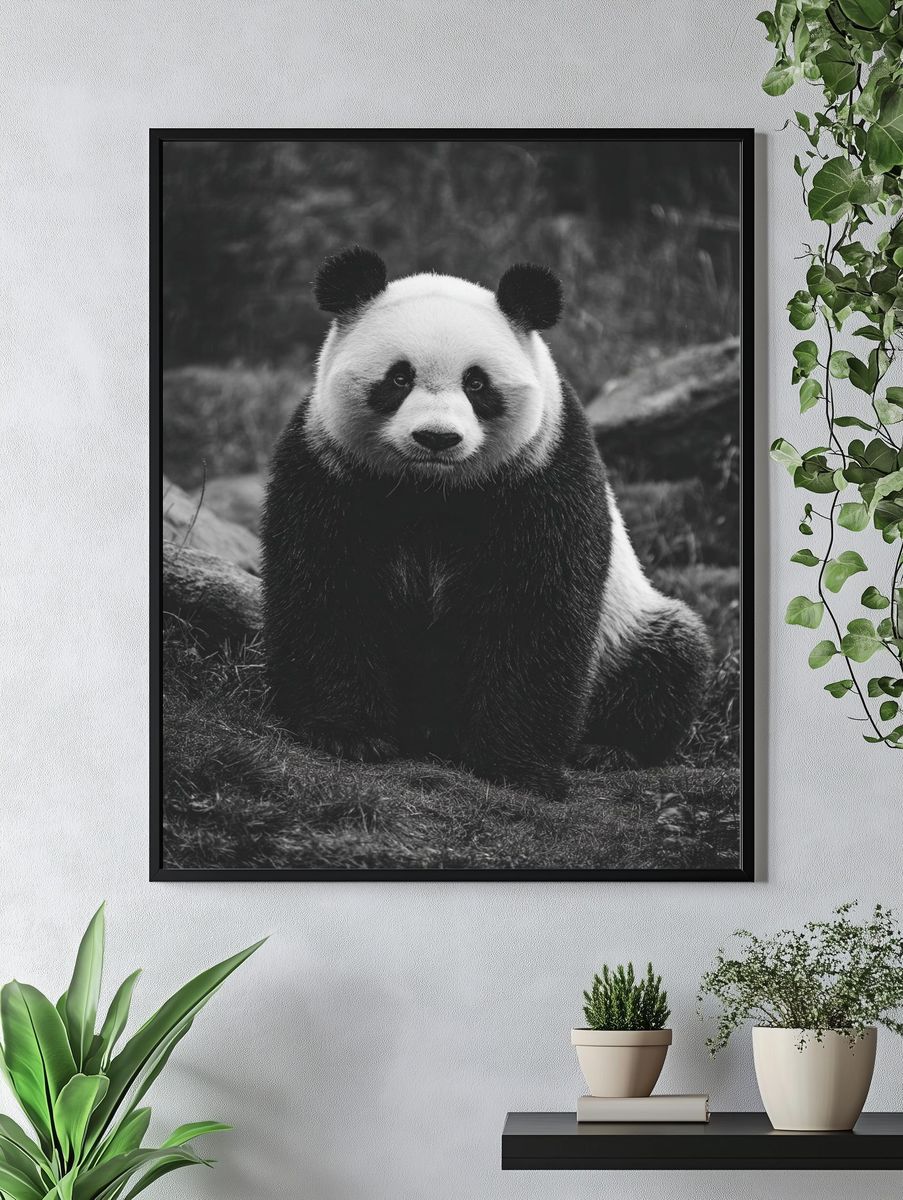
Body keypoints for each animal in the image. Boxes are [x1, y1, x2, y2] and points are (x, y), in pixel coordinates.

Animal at [261, 246, 711, 799]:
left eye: (476, 383)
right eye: (399, 378)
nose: (436, 438)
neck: (430, 493)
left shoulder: (542, 474)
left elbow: (534, 613)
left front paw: (516, 766)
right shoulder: (329, 470)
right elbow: (329, 591)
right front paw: (351, 735)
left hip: (628, 628)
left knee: (669, 661)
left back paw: (609, 748)